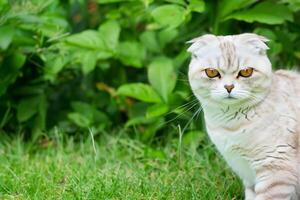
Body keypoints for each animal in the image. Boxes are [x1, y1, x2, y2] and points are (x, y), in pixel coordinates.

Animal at [188, 33, 300, 200]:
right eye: (212, 72)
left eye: (246, 72)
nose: (229, 87)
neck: (230, 126)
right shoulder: (247, 174)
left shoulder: (276, 171)